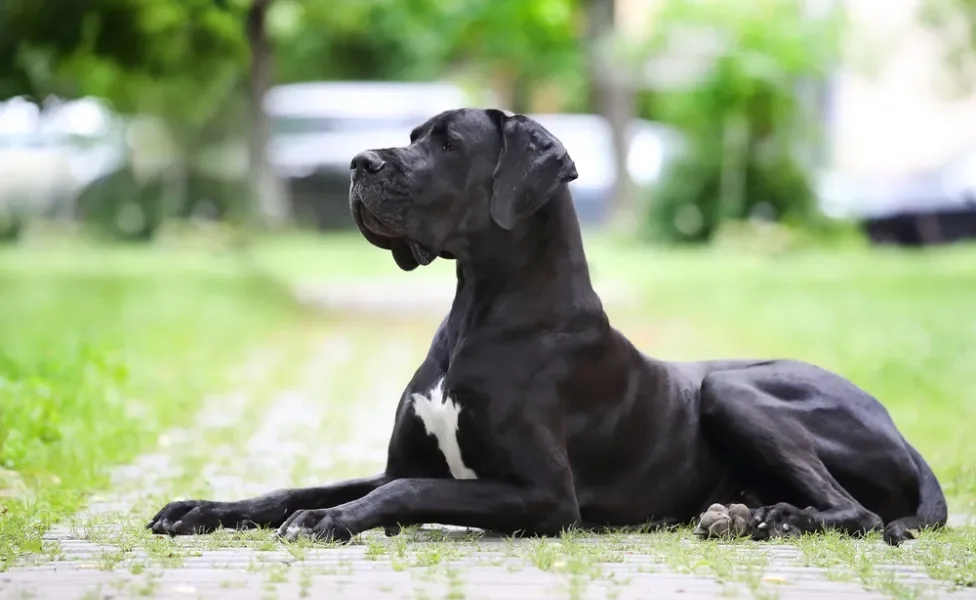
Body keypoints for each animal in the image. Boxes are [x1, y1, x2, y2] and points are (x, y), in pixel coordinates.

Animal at [149, 106, 948, 544]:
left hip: (732, 390)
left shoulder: (545, 496)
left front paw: (331, 523)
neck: (476, 309)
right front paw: (201, 507)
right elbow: (300, 488)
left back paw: (773, 520)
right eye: (413, 134)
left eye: (448, 143)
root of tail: (901, 431)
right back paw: (744, 514)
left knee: (855, 511)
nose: (357, 161)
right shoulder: (401, 461)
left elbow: (392, 496)